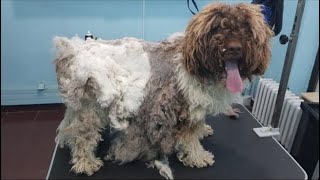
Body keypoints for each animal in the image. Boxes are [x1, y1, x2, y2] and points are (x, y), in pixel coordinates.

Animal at [52, 2, 272, 179]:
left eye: (245, 27)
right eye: (216, 28)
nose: (234, 48)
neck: (196, 63)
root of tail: (71, 52)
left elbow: (199, 125)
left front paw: (203, 131)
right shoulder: (185, 108)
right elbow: (190, 138)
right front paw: (198, 156)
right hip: (91, 108)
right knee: (83, 136)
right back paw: (85, 162)